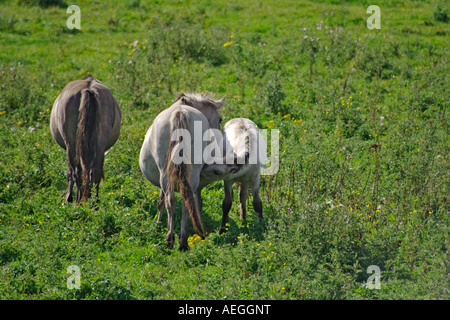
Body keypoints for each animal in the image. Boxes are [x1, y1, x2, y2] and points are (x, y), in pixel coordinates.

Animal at [139, 92, 230, 250]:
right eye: (220, 119)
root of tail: (180, 112)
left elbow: (160, 201)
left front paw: (157, 223)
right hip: (190, 175)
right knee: (184, 201)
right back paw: (181, 241)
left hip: (165, 173)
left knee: (172, 200)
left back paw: (173, 240)